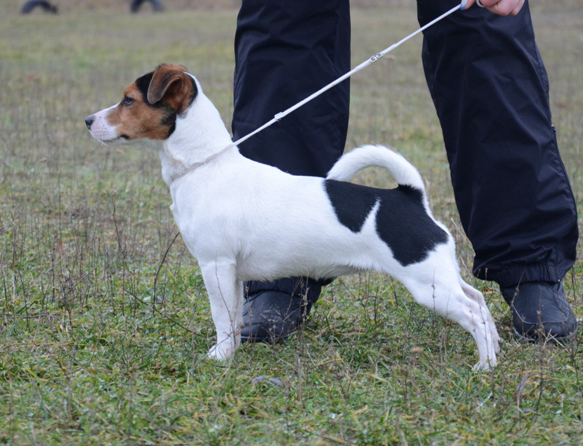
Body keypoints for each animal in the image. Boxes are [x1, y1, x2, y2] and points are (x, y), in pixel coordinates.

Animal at [86, 62, 502, 370]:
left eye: (128, 100)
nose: (88, 120)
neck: (204, 165)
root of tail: (409, 197)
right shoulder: (232, 273)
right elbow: (234, 317)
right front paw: (233, 352)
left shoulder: (215, 265)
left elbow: (222, 318)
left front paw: (219, 358)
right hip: (438, 275)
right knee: (479, 300)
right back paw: (495, 350)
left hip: (427, 284)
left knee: (472, 313)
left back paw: (484, 366)